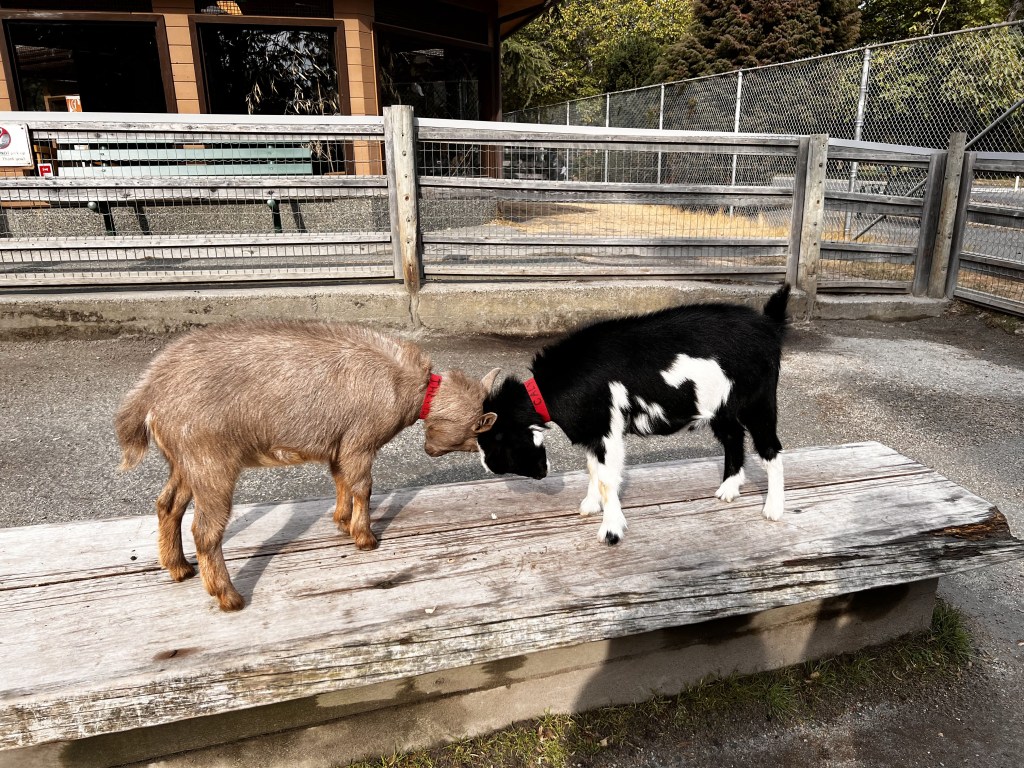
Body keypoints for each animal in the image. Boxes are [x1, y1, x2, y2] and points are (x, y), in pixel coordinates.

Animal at [116, 321, 498, 611]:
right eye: (479, 432)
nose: (488, 464)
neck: (407, 387)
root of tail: (150, 392)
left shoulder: (338, 444)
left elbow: (341, 480)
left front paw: (342, 522)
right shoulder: (360, 441)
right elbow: (363, 486)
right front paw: (365, 538)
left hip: (183, 461)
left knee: (168, 505)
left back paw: (179, 568)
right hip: (211, 461)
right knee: (205, 531)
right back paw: (229, 598)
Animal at [477, 284, 791, 545]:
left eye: (497, 440)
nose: (489, 467)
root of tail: (768, 324)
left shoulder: (607, 430)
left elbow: (607, 478)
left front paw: (611, 532)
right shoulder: (593, 431)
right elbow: (593, 468)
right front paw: (590, 506)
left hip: (759, 400)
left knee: (770, 447)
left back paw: (773, 509)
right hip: (719, 406)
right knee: (733, 436)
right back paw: (728, 489)